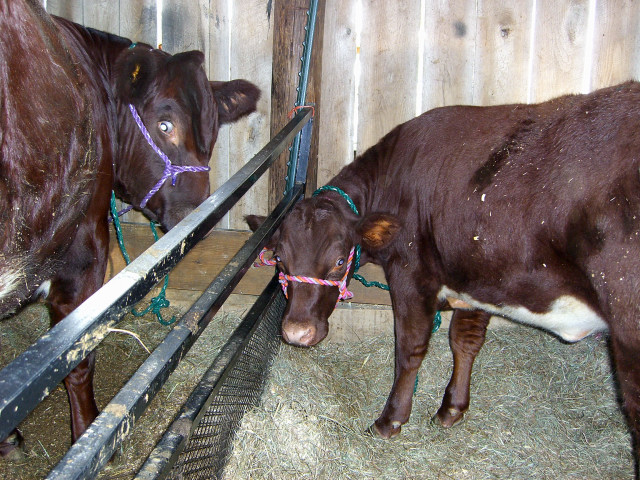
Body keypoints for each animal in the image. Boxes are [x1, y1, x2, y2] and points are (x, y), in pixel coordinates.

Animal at [1, 0, 260, 456]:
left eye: (213, 131)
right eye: (165, 125)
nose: (201, 212)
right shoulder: (84, 255)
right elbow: (79, 361)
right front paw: (87, 437)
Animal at [249, 80, 640, 474]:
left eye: (340, 259)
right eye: (280, 259)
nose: (296, 333)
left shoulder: (410, 273)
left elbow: (409, 348)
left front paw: (390, 420)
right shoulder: (478, 276)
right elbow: (465, 341)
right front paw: (452, 408)